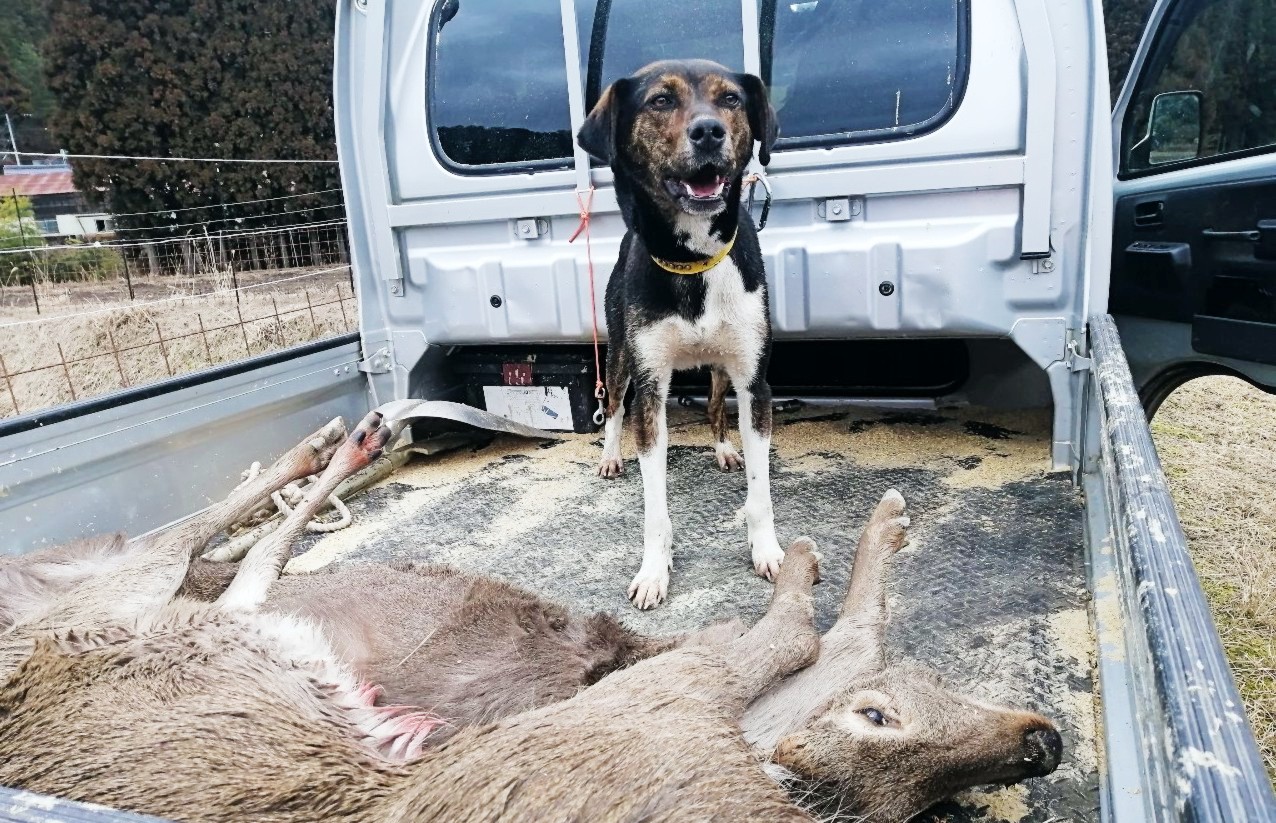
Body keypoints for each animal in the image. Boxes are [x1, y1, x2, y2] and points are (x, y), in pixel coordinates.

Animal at [576, 60, 775, 607]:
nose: (709, 131)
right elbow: (655, 505)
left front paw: (767, 549)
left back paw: (724, 447)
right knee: (612, 405)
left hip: (722, 367)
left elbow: (760, 489)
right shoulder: (649, 385)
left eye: (731, 99)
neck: (694, 261)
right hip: (620, 355)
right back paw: (610, 456)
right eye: (660, 101)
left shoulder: (754, 380)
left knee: (714, 405)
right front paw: (653, 571)